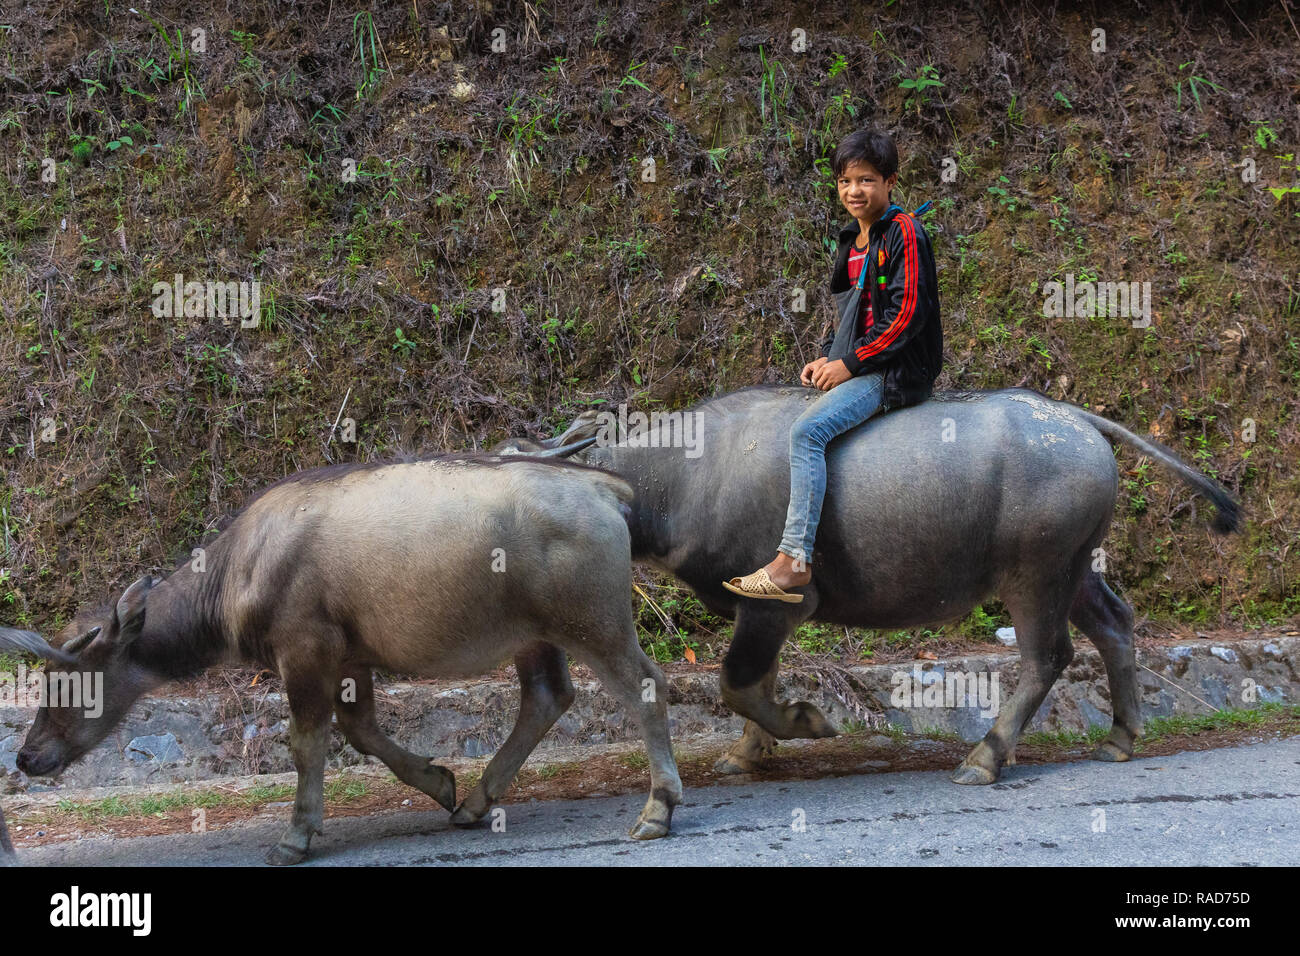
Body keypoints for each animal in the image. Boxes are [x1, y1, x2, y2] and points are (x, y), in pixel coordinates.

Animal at [10, 452, 681, 863]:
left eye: (70, 683)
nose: (25, 756)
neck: (240, 571)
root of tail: (600, 484)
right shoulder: (351, 657)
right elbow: (360, 731)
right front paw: (438, 782)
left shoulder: (305, 651)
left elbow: (308, 743)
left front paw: (296, 835)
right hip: (534, 636)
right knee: (546, 697)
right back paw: (474, 801)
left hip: (594, 623)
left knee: (645, 685)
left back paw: (657, 808)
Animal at [496, 385, 1237, 790]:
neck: (682, 475)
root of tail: (1078, 421)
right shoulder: (762, 613)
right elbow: (753, 684)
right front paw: (750, 751)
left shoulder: (777, 604)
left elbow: (737, 683)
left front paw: (803, 723)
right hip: (1077, 568)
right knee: (1115, 624)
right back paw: (1121, 736)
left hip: (1036, 573)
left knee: (1046, 657)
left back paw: (986, 756)